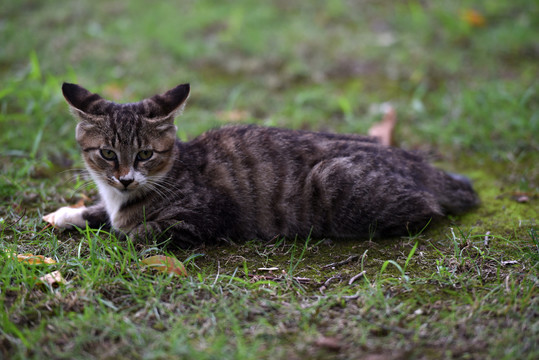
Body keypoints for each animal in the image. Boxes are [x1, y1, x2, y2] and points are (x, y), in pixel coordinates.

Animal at [44, 83, 478, 248]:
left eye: (145, 155)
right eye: (107, 153)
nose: (124, 178)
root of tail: (415, 161)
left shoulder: (203, 217)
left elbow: (134, 234)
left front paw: (115, 233)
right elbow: (105, 215)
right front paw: (68, 213)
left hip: (335, 180)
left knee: (427, 209)